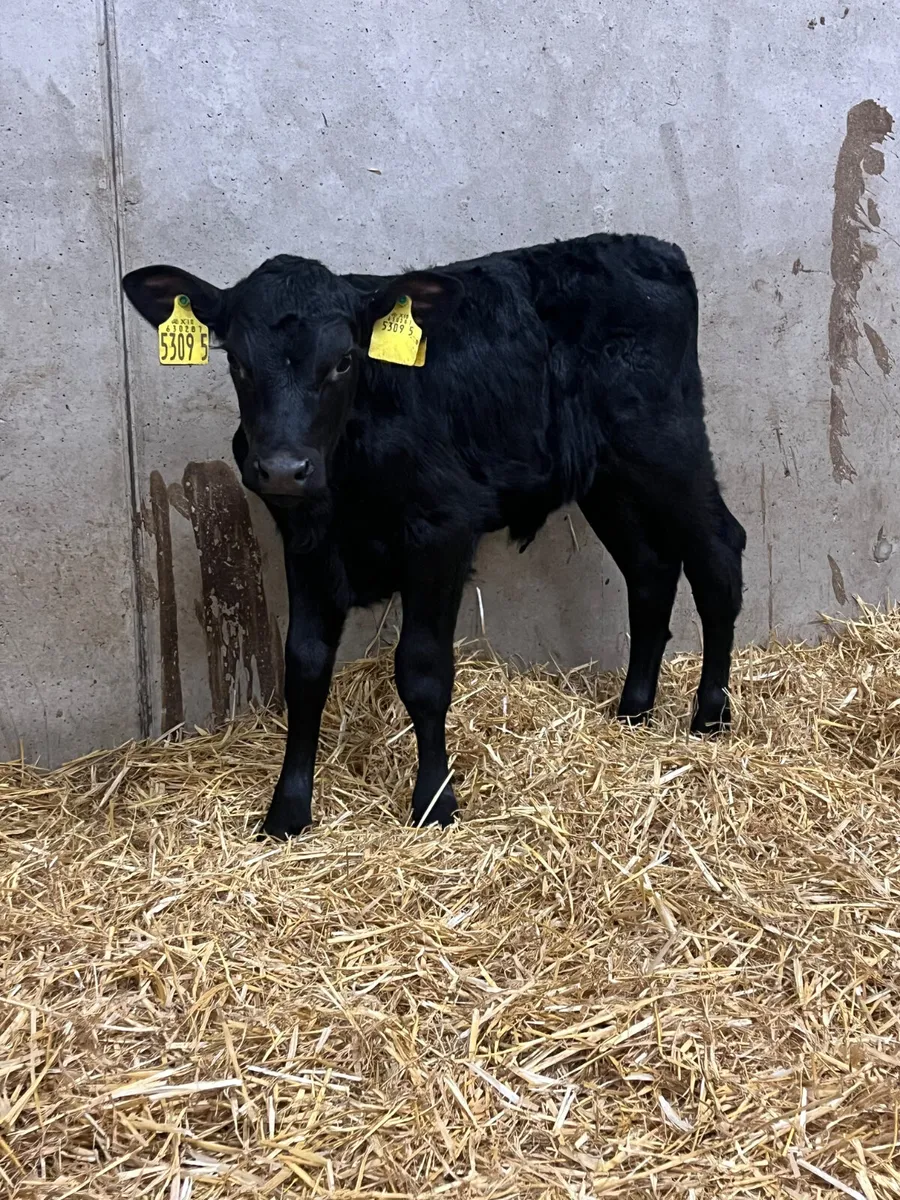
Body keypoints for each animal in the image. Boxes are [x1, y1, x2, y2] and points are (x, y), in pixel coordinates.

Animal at [123, 233, 746, 838]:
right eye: (238, 362)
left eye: (344, 361)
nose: (281, 469)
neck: (348, 471)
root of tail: (652, 247)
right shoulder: (307, 541)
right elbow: (304, 666)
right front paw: (287, 812)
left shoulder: (442, 533)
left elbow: (422, 670)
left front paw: (435, 803)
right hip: (607, 476)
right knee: (651, 569)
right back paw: (634, 710)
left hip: (667, 444)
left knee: (720, 551)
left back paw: (710, 714)